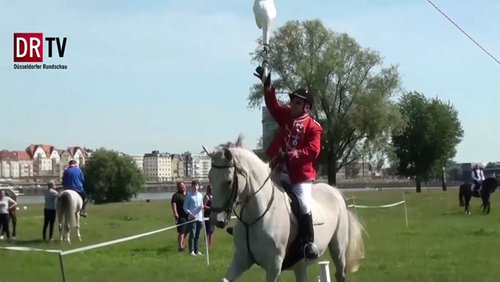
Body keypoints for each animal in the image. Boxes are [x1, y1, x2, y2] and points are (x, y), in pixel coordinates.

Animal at [205, 138, 366, 282]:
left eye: (228, 181)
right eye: (210, 178)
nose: (216, 220)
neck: (254, 218)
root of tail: (334, 190)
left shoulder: (274, 266)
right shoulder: (241, 259)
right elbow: (224, 279)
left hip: (338, 249)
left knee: (340, 273)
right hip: (301, 264)